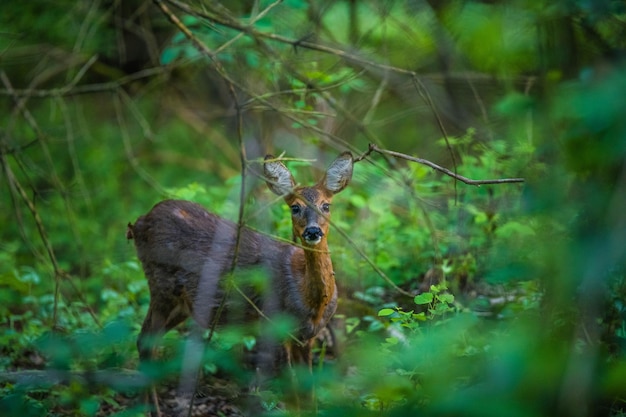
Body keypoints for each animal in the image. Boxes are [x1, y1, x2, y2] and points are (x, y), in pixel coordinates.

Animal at [126, 152, 352, 386]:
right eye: (295, 207)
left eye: (326, 205)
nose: (313, 231)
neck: (311, 302)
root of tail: (139, 222)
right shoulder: (274, 325)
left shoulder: (307, 337)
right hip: (161, 284)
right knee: (145, 340)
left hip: (181, 303)